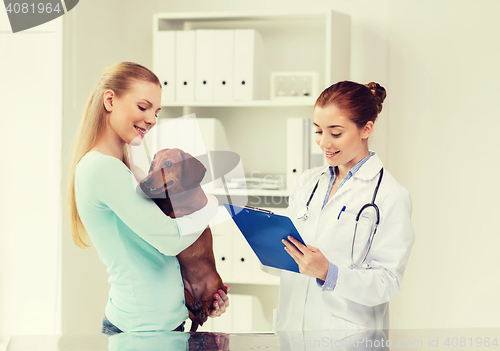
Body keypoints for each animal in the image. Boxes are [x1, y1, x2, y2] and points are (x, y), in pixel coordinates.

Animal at [140, 148, 228, 332]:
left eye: (168, 164)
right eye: (152, 165)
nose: (145, 182)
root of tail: (197, 292)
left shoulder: (187, 210)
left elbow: (176, 211)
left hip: (216, 286)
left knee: (208, 308)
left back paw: (201, 309)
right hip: (183, 284)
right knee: (191, 308)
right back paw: (195, 306)